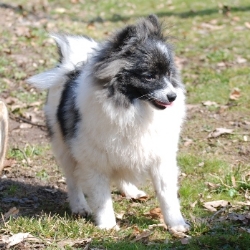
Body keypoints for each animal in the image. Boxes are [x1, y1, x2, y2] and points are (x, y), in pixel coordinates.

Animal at [28, 14, 189, 232]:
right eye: (149, 76)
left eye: (169, 74)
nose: (172, 96)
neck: (132, 108)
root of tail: (70, 68)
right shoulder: (94, 160)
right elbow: (102, 198)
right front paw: (108, 226)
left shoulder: (159, 157)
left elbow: (167, 195)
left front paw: (177, 224)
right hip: (64, 147)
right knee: (72, 180)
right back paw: (79, 206)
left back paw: (131, 191)